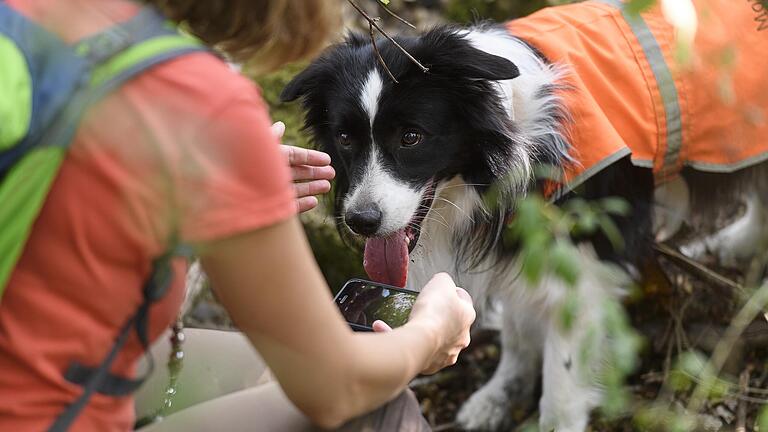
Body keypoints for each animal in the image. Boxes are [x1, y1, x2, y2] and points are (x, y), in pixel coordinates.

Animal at [282, 2, 768, 428]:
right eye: (345, 138)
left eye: (411, 137)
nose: (361, 221)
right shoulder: (517, 242)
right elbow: (517, 328)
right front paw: (500, 395)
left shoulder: (586, 259)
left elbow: (563, 370)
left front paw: (554, 419)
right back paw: (736, 244)